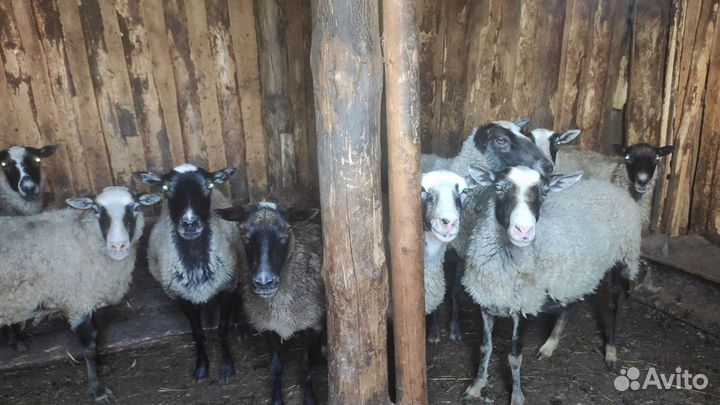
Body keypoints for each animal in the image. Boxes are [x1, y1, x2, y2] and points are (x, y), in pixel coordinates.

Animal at [0, 186, 162, 403]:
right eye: (97, 210)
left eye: (135, 207)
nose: (118, 247)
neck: (85, 238)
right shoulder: (78, 302)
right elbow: (90, 346)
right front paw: (97, 390)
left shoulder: (88, 300)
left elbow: (97, 336)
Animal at [134, 164, 240, 384]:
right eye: (165, 188)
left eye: (208, 185)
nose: (190, 223)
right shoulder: (180, 297)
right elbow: (197, 333)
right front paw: (201, 367)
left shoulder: (228, 285)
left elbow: (223, 328)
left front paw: (226, 366)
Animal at [215, 199, 322, 405]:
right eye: (242, 231)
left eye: (288, 229)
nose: (264, 282)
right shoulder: (266, 326)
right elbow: (276, 367)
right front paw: (277, 399)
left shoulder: (314, 324)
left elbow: (307, 366)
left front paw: (309, 398)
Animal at [460, 165, 642, 405]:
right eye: (499, 187)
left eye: (545, 191)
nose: (524, 231)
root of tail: (612, 188)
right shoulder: (485, 303)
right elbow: (484, 348)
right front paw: (476, 386)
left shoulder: (526, 306)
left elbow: (514, 357)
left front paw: (516, 396)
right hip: (573, 276)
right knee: (569, 306)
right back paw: (549, 345)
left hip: (623, 259)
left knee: (612, 307)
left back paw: (611, 352)